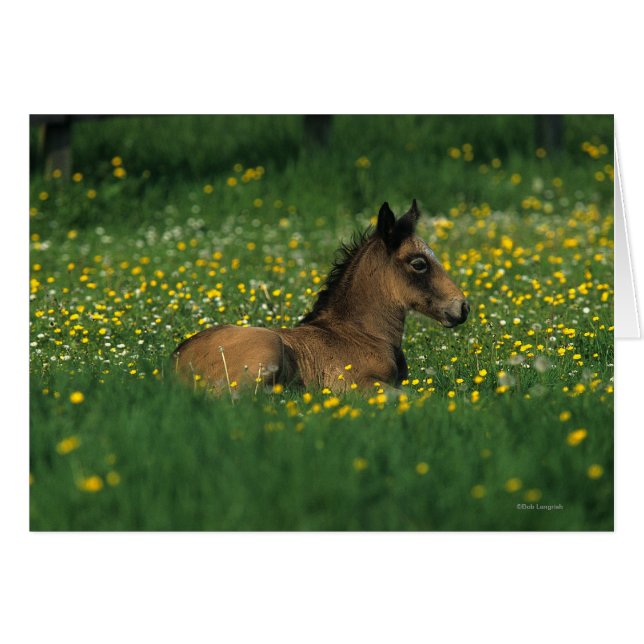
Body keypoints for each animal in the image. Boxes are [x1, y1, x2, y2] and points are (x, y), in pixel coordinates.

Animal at [172, 200, 470, 393]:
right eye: (419, 263)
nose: (463, 307)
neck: (362, 334)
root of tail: (174, 363)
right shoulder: (358, 384)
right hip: (266, 347)